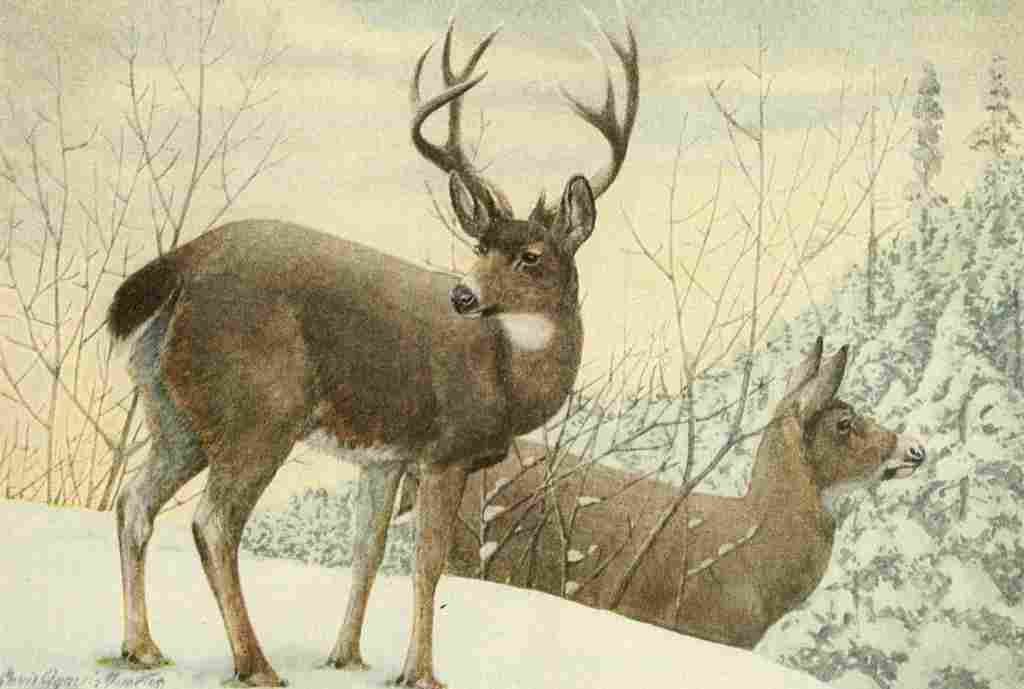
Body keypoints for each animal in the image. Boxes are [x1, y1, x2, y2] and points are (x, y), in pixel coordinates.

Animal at [104, 14, 639, 689]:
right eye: (479, 246)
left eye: (530, 255)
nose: (463, 295)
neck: (509, 379)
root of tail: (183, 262)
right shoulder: (446, 451)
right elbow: (427, 564)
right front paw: (420, 673)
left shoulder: (385, 458)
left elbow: (369, 552)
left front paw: (347, 656)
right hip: (260, 409)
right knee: (214, 522)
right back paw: (255, 665)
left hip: (171, 410)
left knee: (134, 502)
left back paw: (142, 647)